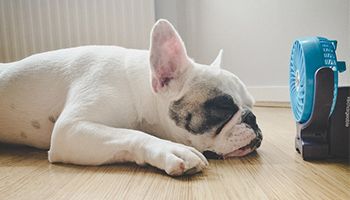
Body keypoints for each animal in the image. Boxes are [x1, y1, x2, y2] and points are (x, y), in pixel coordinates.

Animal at [0, 18, 262, 175]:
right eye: (223, 107)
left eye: (252, 104)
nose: (253, 118)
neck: (138, 89)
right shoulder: (70, 130)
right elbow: (131, 134)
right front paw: (172, 148)